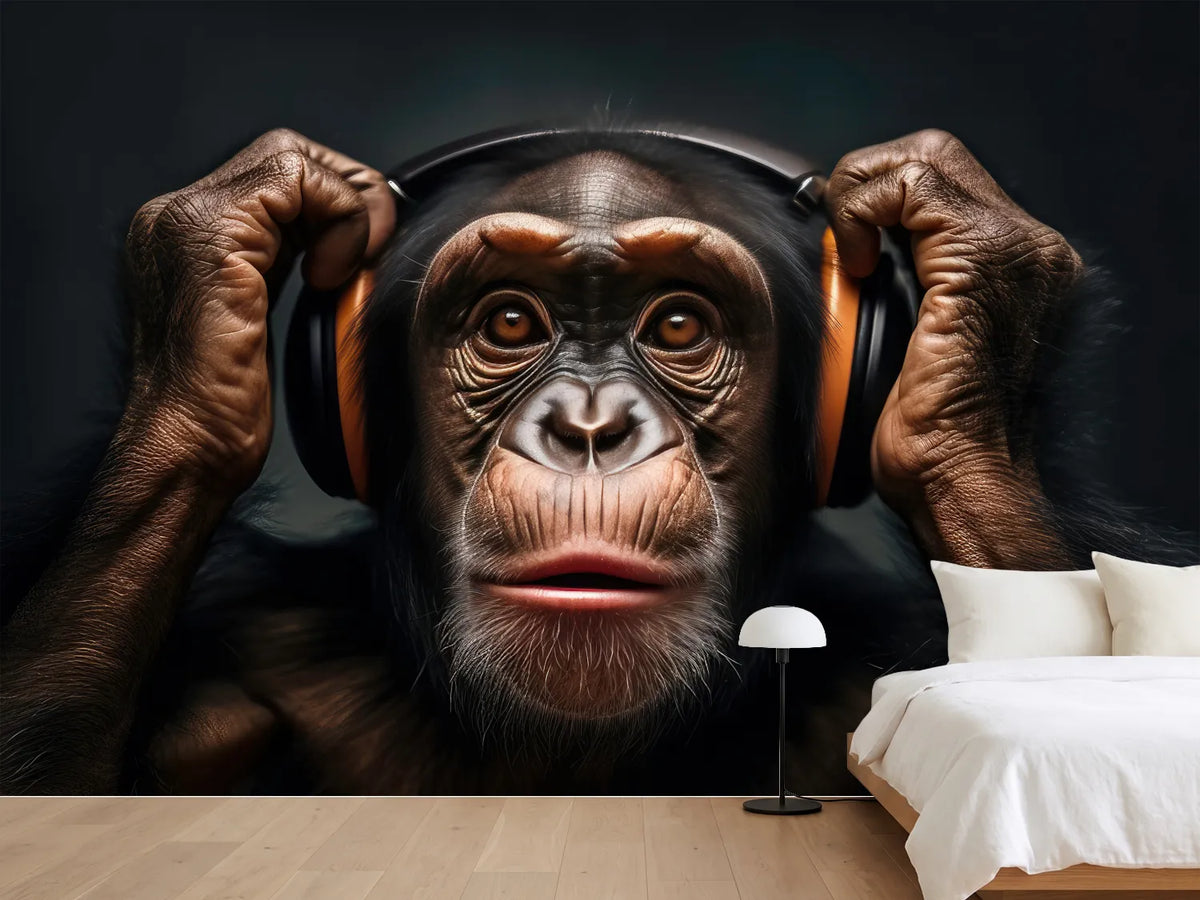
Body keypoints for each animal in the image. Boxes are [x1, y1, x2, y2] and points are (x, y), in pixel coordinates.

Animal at [1, 126, 1194, 795]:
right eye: (511, 322)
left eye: (677, 328)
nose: (587, 426)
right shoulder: (235, 669)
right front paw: (220, 255)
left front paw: (973, 296)